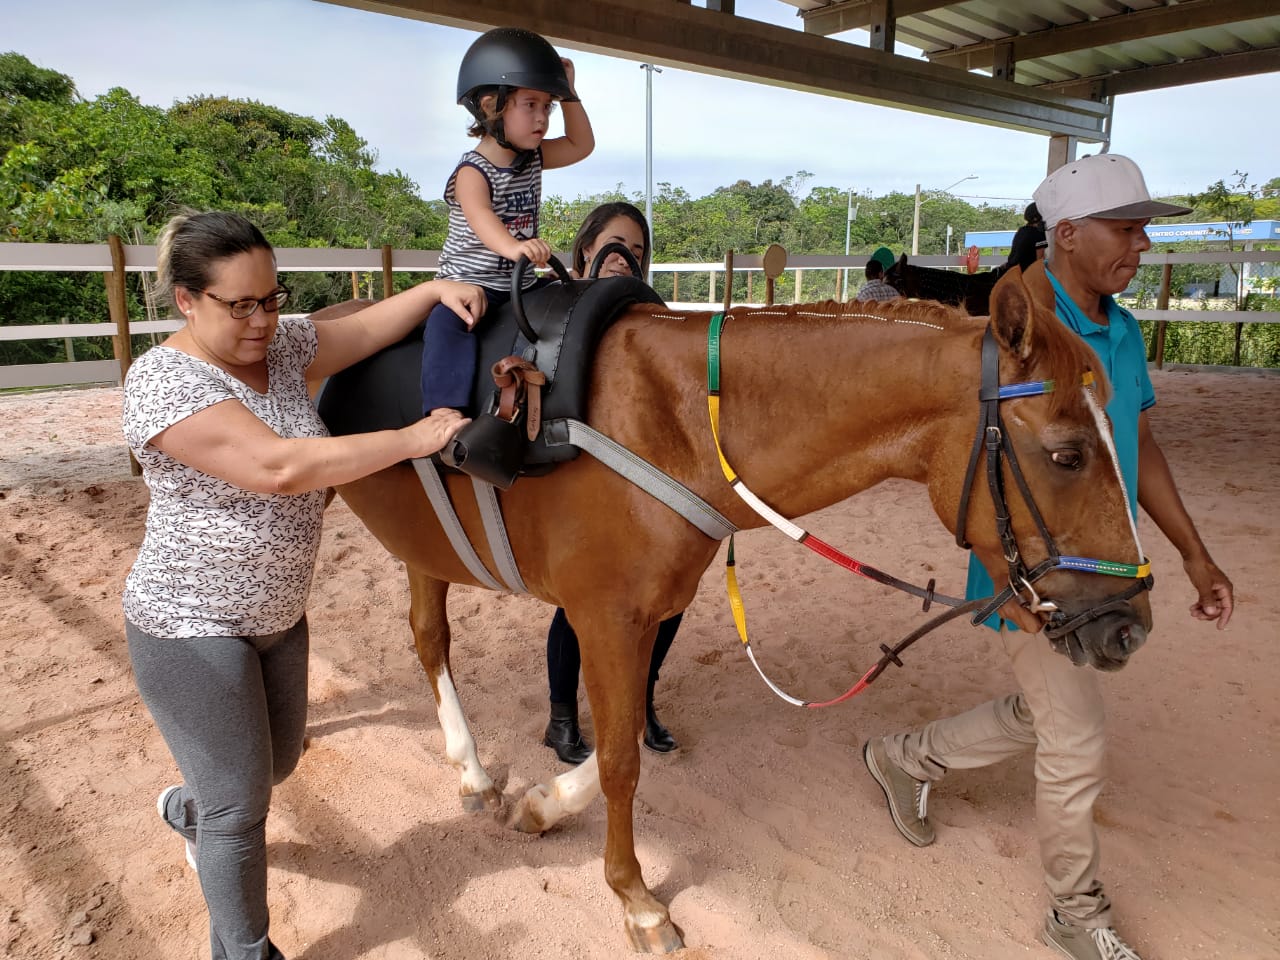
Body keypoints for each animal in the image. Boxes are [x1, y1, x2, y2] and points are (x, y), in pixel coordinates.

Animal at [317, 264, 1152, 957]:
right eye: (1068, 454)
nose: (1128, 627)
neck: (676, 421)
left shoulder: (648, 612)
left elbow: (617, 741)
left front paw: (543, 806)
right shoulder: (606, 618)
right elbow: (620, 762)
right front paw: (636, 900)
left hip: (425, 547)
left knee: (429, 639)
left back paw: (471, 772)